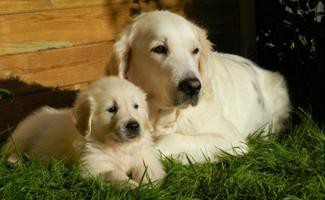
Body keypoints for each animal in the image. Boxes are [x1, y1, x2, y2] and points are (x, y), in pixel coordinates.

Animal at [2, 76, 165, 188]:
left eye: (136, 106)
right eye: (112, 109)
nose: (133, 125)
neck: (118, 147)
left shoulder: (145, 156)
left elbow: (148, 170)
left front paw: (149, 185)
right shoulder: (91, 167)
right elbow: (112, 173)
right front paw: (131, 185)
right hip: (24, 134)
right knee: (10, 150)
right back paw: (15, 161)